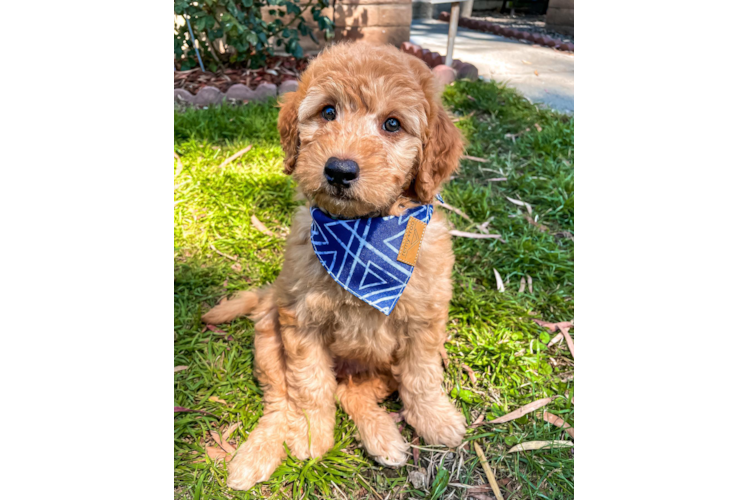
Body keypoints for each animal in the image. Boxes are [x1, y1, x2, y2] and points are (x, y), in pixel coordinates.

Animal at [202, 42, 464, 488]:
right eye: (327, 112)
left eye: (392, 124)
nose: (340, 170)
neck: (364, 236)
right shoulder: (301, 321)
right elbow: (309, 385)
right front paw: (310, 434)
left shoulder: (424, 320)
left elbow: (423, 375)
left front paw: (436, 418)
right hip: (268, 339)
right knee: (282, 398)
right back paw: (257, 454)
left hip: (379, 366)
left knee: (353, 392)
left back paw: (382, 437)